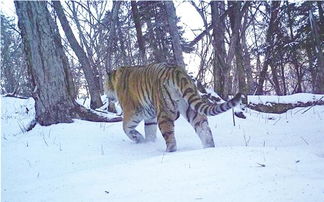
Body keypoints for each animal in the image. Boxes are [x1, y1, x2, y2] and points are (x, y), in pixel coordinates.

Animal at [104, 63, 243, 152]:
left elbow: (126, 128)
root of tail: (176, 71)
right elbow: (149, 131)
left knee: (170, 138)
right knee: (204, 130)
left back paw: (168, 152)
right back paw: (208, 149)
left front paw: (139, 139)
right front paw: (148, 143)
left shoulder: (132, 112)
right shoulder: (150, 117)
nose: (106, 95)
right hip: (190, 108)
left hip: (164, 111)